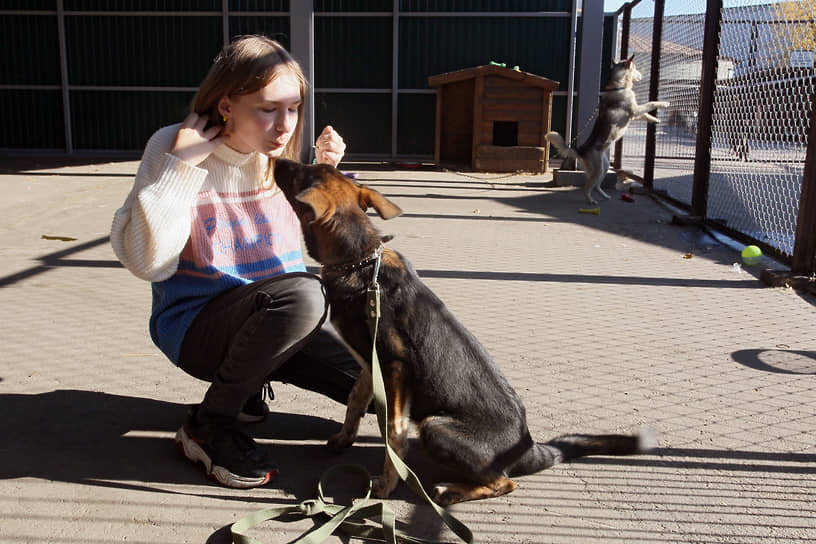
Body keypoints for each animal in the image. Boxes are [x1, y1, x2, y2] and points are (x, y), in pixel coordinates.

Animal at [274, 159, 656, 508]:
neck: (362, 264)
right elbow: (355, 400)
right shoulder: (371, 363)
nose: (277, 159)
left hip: (436, 427)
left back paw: (452, 491)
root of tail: (528, 447)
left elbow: (394, 432)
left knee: (504, 482)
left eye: (299, 172)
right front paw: (343, 438)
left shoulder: (395, 367)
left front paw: (386, 483)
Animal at [548, 55, 668, 204]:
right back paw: (591, 200)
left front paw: (655, 120)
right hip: (598, 170)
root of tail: (581, 150)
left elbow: (645, 114)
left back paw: (604, 195)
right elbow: (650, 103)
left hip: (604, 167)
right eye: (635, 68)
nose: (641, 75)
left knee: (597, 186)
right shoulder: (634, 110)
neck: (619, 86)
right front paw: (664, 104)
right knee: (587, 187)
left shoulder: (634, 114)